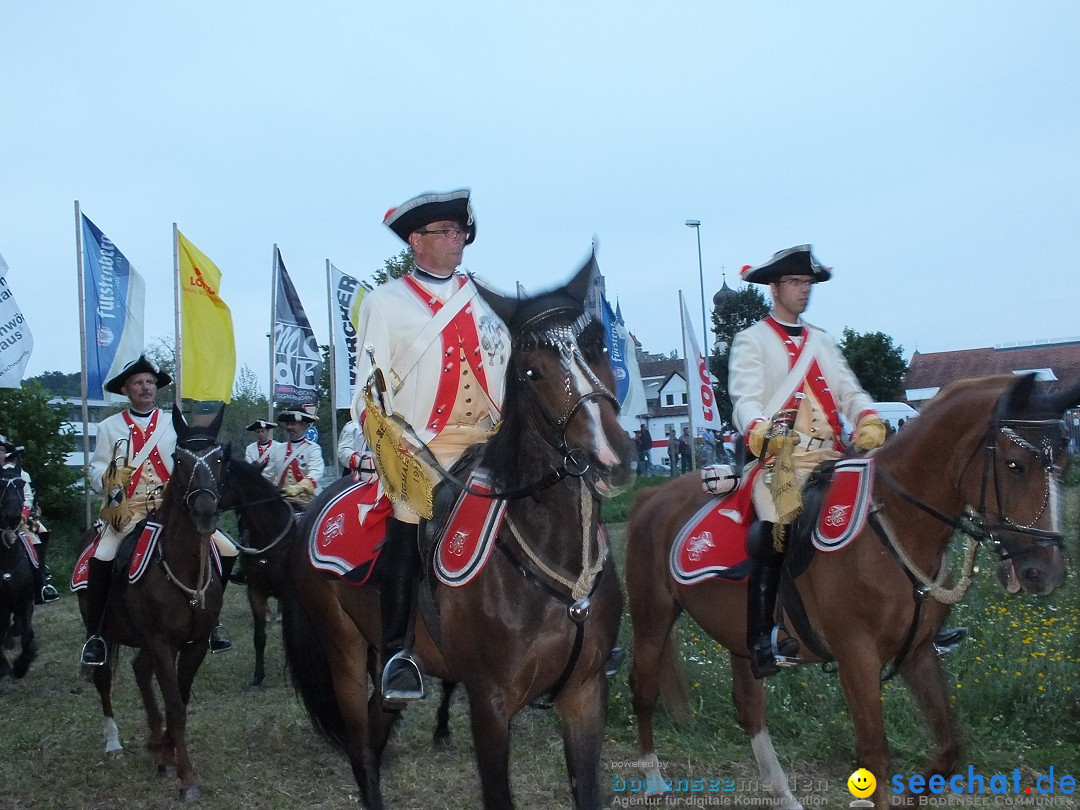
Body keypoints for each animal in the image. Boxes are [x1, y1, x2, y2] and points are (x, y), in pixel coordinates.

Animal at [80, 408, 230, 803]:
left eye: (219, 459)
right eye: (180, 459)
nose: (205, 512)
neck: (182, 565)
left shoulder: (194, 644)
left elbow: (181, 699)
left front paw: (167, 755)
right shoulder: (163, 642)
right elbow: (175, 705)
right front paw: (186, 777)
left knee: (139, 670)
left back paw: (154, 738)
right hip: (103, 630)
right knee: (104, 677)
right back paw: (114, 743)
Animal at [280, 261, 630, 810]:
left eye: (596, 344)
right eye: (530, 372)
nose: (609, 458)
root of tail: (312, 509)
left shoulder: (585, 694)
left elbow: (588, 791)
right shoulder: (490, 703)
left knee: (375, 739)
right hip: (345, 655)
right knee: (362, 753)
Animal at [626, 375, 1071, 810]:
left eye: (1063, 467)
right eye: (1015, 466)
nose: (1046, 572)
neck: (891, 522)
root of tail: (651, 497)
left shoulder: (918, 652)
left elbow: (950, 748)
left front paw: (912, 795)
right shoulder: (856, 656)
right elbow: (876, 754)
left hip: (741, 637)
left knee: (749, 706)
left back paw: (782, 795)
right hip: (651, 619)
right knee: (644, 689)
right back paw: (652, 779)